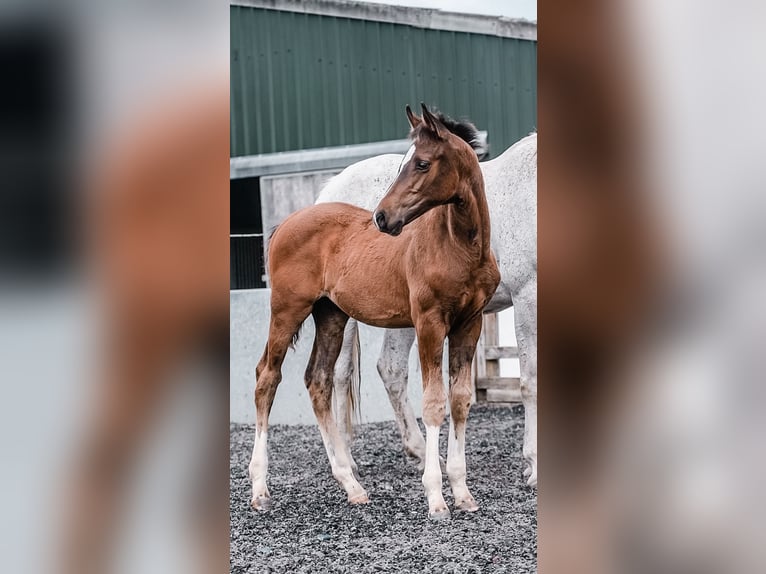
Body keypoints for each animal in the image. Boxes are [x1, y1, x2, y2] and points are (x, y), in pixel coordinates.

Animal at [252, 103, 504, 520]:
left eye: (421, 163)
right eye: (403, 162)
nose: (382, 218)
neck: (458, 245)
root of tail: (285, 223)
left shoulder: (470, 324)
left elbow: (460, 400)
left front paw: (463, 492)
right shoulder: (429, 322)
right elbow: (433, 404)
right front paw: (436, 497)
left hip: (331, 315)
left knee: (318, 380)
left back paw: (352, 485)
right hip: (287, 310)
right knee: (266, 378)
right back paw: (259, 488)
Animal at [318, 126, 540, 486]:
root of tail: (326, 195)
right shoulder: (526, 296)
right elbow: (530, 380)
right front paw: (533, 464)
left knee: (390, 368)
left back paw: (421, 452)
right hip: (345, 313)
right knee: (340, 373)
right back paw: (348, 460)